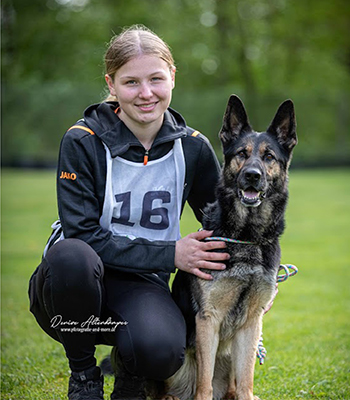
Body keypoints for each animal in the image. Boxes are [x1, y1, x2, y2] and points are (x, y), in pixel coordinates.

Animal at [160, 94, 296, 400]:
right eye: (241, 154)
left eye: (269, 157)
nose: (252, 175)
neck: (246, 237)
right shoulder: (208, 320)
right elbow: (204, 385)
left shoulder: (251, 324)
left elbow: (246, 381)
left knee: (234, 386)